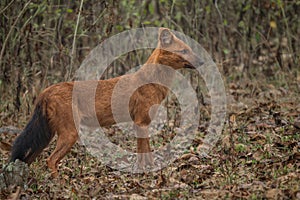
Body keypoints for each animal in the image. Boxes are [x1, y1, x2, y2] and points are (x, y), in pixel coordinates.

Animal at [11, 27, 204, 177]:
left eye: (190, 49)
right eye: (184, 51)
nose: (201, 61)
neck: (151, 82)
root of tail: (45, 91)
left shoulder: (142, 124)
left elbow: (146, 153)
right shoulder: (141, 122)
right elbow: (143, 154)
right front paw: (145, 173)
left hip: (47, 135)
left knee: (27, 159)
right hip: (69, 134)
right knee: (50, 160)